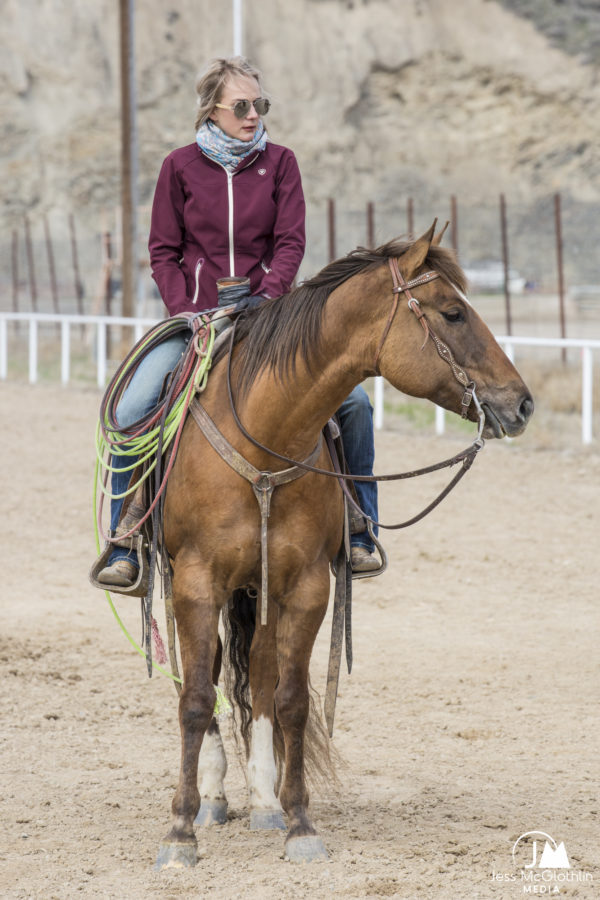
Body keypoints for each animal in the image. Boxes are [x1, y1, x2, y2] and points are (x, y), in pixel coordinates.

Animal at [155, 221, 536, 868]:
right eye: (454, 312)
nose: (524, 403)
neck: (263, 441)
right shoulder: (196, 582)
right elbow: (198, 699)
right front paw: (180, 832)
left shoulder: (307, 585)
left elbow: (289, 700)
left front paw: (299, 823)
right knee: (204, 678)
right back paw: (213, 798)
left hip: (261, 591)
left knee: (259, 676)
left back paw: (262, 801)